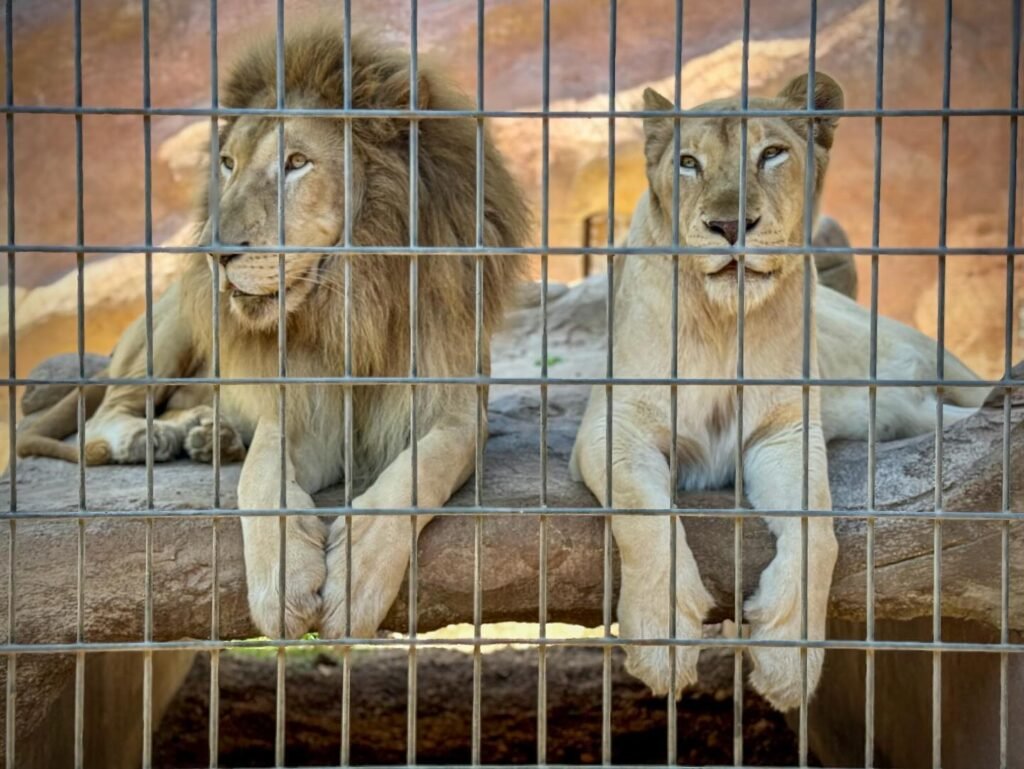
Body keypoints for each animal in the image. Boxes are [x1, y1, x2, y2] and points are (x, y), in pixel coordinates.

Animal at [17, 27, 530, 640]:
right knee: (106, 413)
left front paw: (356, 573)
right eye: (227, 163)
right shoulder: (301, 409)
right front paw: (284, 578)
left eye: (297, 163)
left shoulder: (457, 410)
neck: (352, 303)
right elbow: (260, 477)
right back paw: (149, 438)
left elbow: (419, 469)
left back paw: (207, 434)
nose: (213, 251)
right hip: (173, 323)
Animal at [569, 73, 985, 710]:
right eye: (687, 163)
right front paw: (663, 637)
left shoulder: (784, 432)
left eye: (771, 154)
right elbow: (646, 514)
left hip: (935, 361)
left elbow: (818, 531)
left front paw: (788, 656)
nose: (728, 227)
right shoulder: (615, 424)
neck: (723, 324)